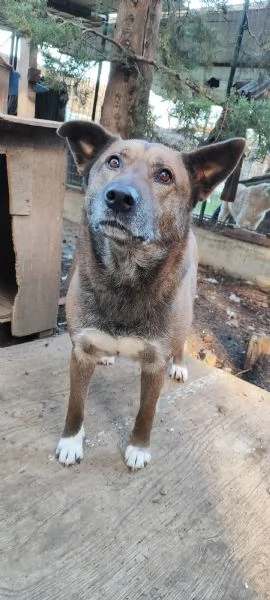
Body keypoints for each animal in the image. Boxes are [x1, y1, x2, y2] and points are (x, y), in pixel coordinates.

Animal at [55, 120, 245, 468]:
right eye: (113, 161)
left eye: (165, 176)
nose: (119, 197)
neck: (124, 274)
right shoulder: (81, 352)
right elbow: (76, 404)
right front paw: (71, 441)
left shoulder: (154, 364)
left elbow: (146, 412)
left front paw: (138, 448)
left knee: (181, 342)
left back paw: (179, 365)